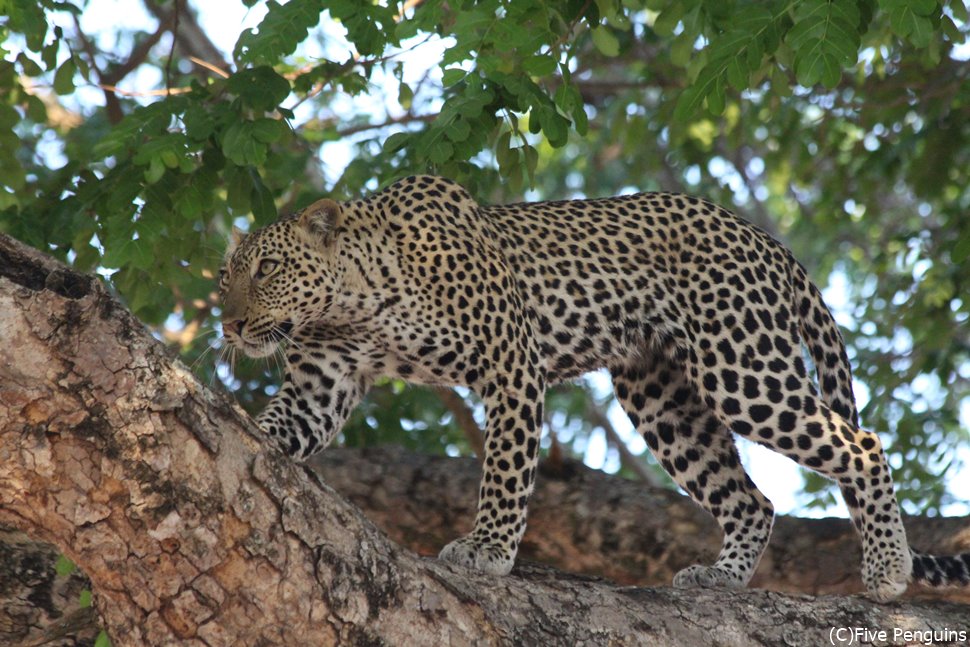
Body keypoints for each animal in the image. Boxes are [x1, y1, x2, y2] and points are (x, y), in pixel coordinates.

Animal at [219, 176, 968, 604]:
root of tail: (766, 238)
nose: (227, 322)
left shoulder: (509, 362)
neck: (353, 303)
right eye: (226, 275)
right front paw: (238, 423)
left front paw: (487, 551)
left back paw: (887, 569)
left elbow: (506, 469)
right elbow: (280, 426)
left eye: (267, 267)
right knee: (752, 500)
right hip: (663, 398)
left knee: (863, 444)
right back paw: (722, 578)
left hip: (743, 368)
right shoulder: (322, 381)